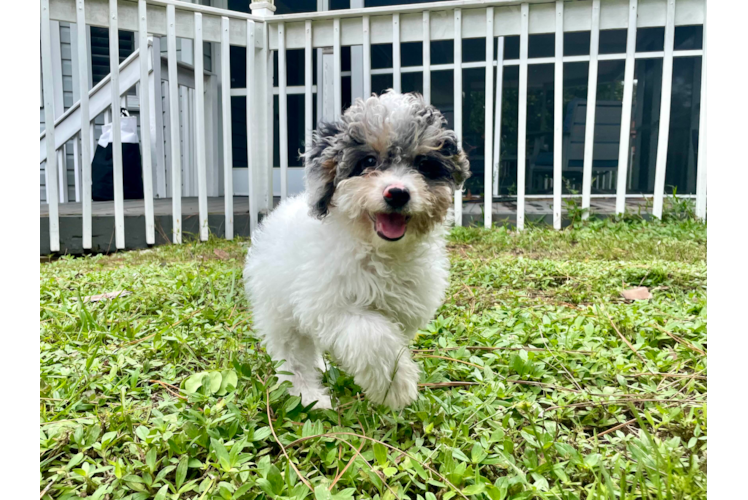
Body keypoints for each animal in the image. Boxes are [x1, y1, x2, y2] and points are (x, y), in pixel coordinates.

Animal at [244, 90, 468, 410]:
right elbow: (372, 336)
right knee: (293, 353)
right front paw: (396, 386)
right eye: (369, 160)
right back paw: (308, 395)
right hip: (278, 307)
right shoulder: (329, 305)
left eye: (424, 165)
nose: (397, 193)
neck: (378, 250)